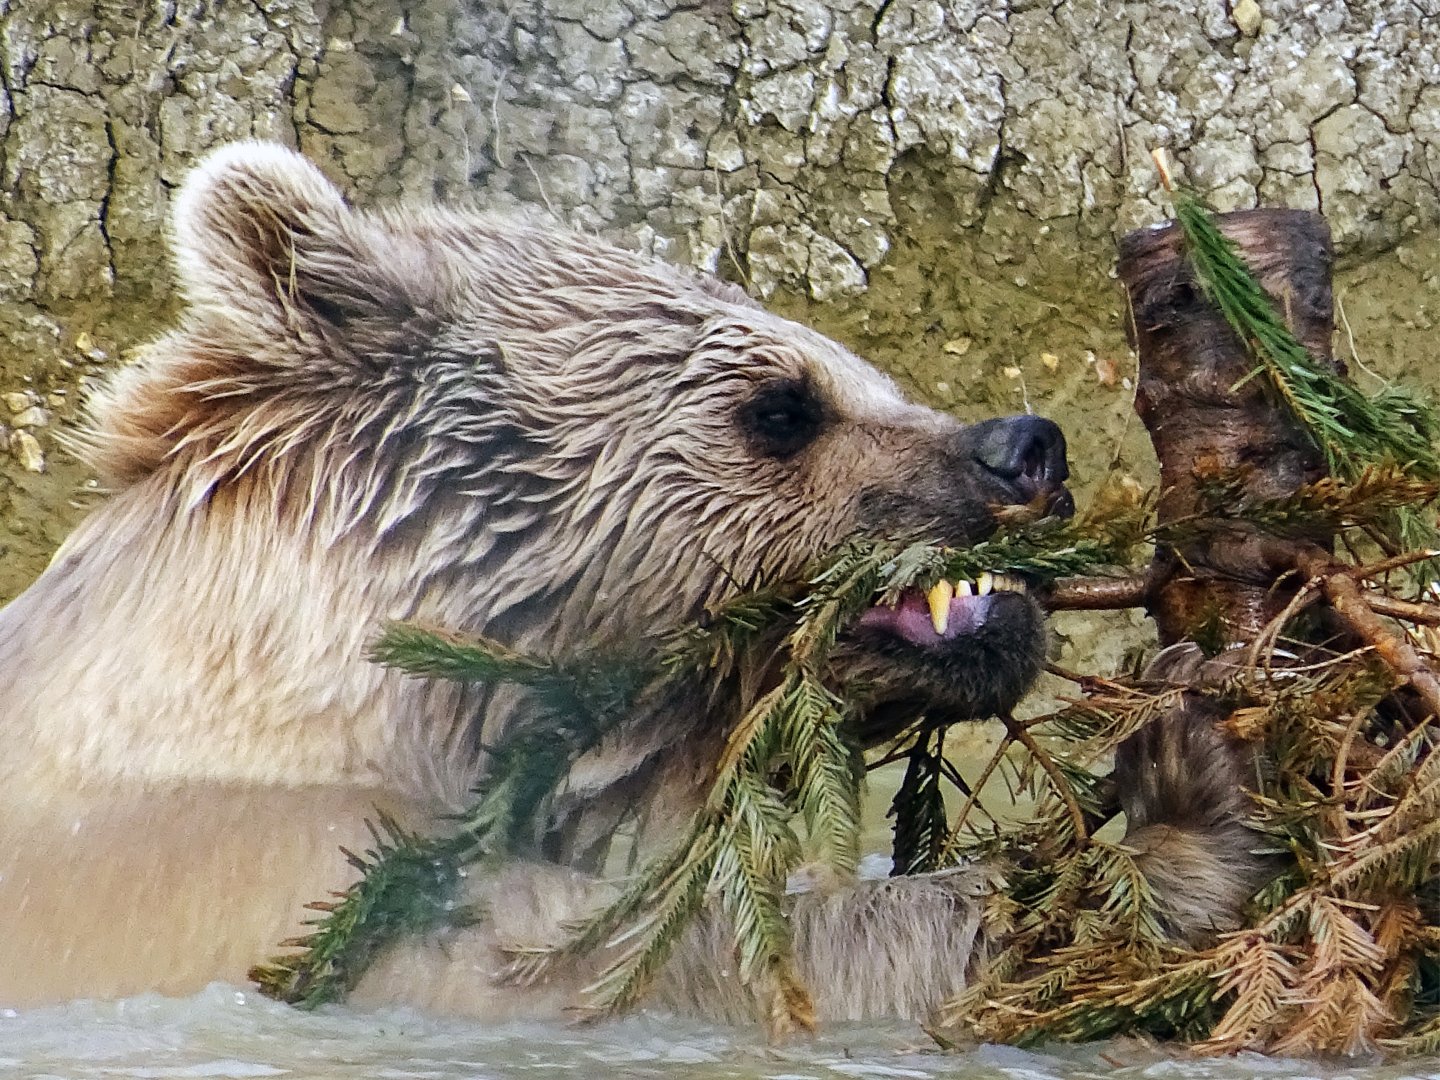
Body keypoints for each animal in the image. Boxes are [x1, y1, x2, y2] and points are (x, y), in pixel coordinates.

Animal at [0, 142, 1238, 1022]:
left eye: (867, 370)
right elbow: (722, 960)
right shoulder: (294, 888)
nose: (1026, 448)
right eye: (781, 407)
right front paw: (1186, 808)